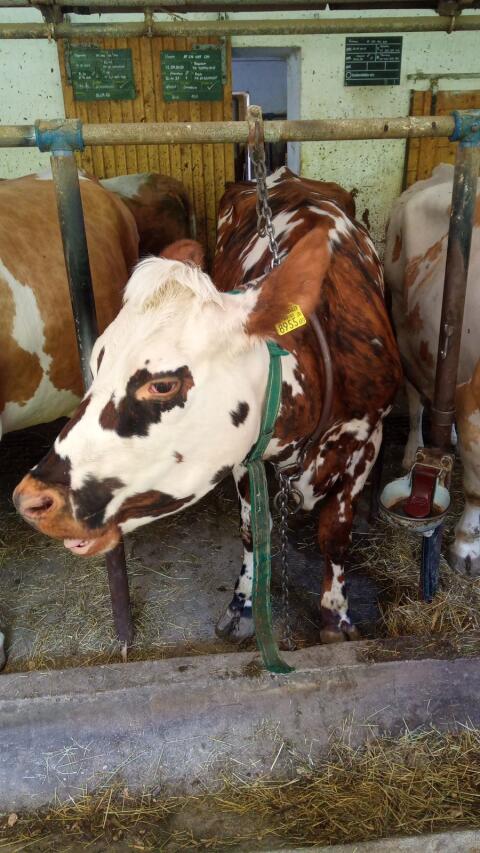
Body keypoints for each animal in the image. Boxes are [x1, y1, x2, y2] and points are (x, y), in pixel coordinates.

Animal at [13, 166, 402, 645]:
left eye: (162, 384)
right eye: (96, 359)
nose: (31, 500)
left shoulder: (368, 438)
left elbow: (336, 534)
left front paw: (336, 615)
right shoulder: (246, 458)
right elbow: (254, 531)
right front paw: (244, 605)